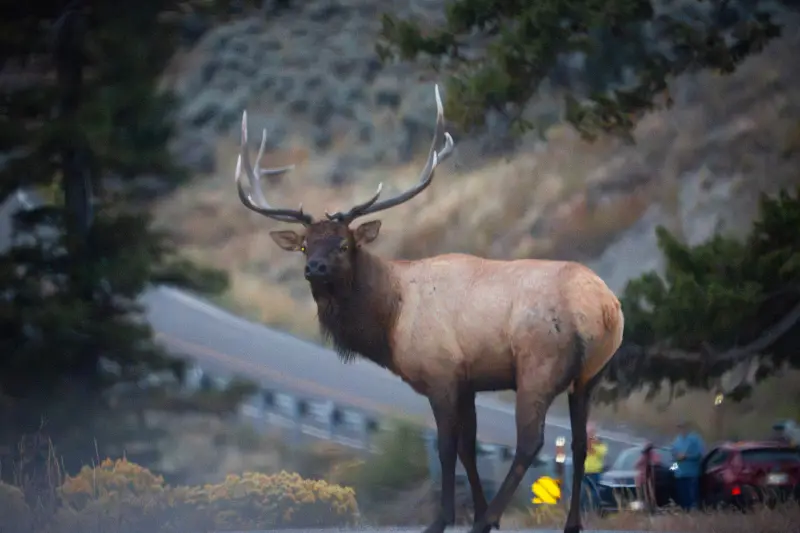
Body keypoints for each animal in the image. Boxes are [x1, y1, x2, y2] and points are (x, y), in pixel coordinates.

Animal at [233, 85, 625, 533]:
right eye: (304, 244)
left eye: (343, 244)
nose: (313, 268)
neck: (390, 320)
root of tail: (603, 308)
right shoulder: (469, 380)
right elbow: (470, 448)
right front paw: (475, 511)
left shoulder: (441, 374)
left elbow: (445, 448)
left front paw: (443, 519)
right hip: (591, 374)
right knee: (579, 443)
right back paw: (568, 522)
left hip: (539, 363)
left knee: (531, 442)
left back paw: (486, 519)